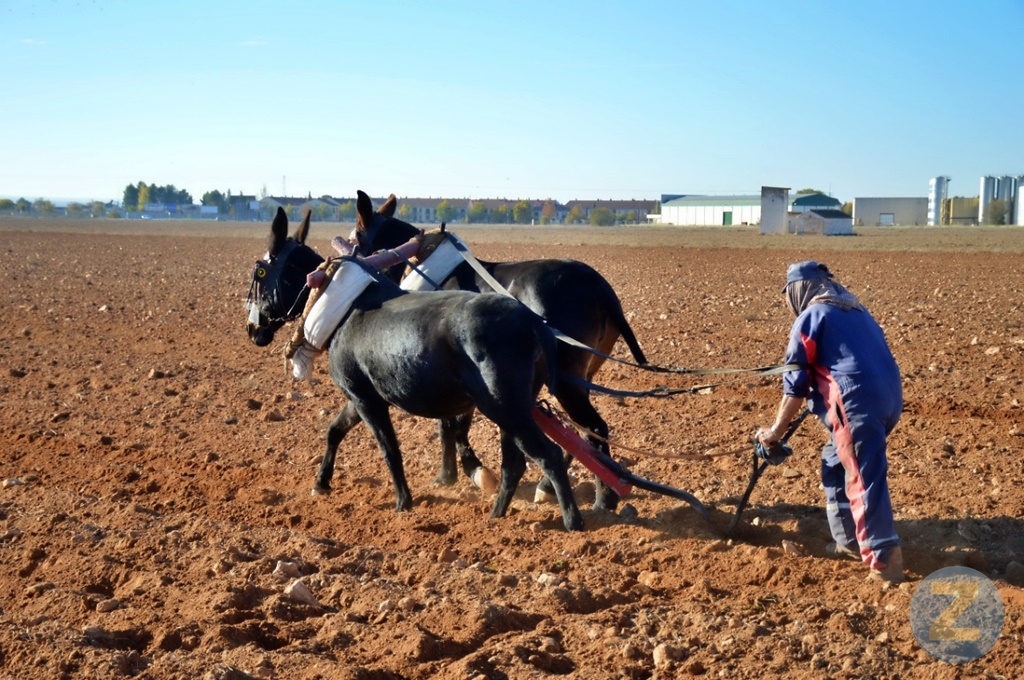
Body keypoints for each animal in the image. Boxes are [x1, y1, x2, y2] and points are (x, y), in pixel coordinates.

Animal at [245, 206, 585, 532]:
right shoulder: (360, 396)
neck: (346, 309)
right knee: (514, 464)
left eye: (260, 271)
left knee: (548, 455)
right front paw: (321, 482)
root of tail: (533, 322)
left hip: (505, 407)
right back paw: (495, 516)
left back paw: (572, 521)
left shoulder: (367, 401)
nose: (252, 329)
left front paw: (403, 502)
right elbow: (334, 431)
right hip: (512, 411)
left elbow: (389, 449)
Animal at [351, 191, 646, 512]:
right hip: (580, 377)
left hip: (566, 381)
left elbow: (449, 425)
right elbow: (454, 424)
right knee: (582, 432)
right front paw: (457, 472)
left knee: (594, 428)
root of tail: (598, 287)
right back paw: (550, 487)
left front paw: (455, 474)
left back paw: (603, 498)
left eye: (356, 235)